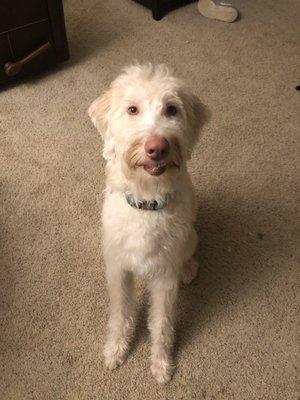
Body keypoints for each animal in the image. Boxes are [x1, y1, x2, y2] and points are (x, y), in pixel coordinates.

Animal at [88, 63, 203, 384]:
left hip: (190, 236)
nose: (157, 147)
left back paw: (189, 268)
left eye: (172, 109)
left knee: (189, 253)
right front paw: (116, 349)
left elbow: (162, 323)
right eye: (132, 109)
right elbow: (120, 313)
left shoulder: (164, 278)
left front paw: (161, 364)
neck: (146, 204)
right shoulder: (118, 270)